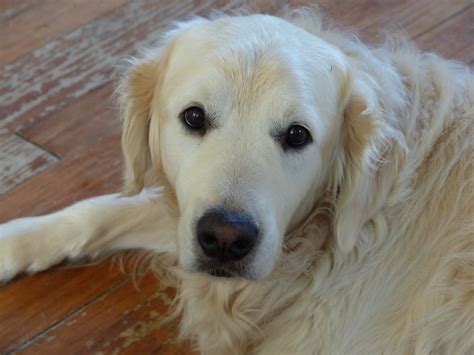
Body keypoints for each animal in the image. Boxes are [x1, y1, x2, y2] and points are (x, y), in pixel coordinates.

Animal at [0, 9, 474, 355]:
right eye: (194, 116)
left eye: (297, 135)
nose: (226, 239)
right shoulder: (187, 217)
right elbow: (103, 208)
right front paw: (13, 243)